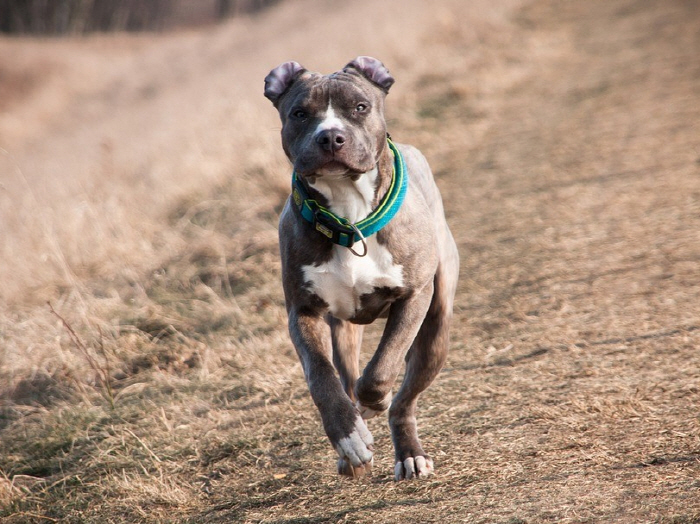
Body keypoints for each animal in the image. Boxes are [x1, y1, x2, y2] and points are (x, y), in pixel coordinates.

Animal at [264, 56, 460, 478]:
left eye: (360, 107)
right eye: (299, 113)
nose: (330, 137)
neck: (349, 213)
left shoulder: (414, 297)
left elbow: (383, 367)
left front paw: (374, 402)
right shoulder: (302, 312)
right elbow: (321, 377)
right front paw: (348, 437)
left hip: (436, 330)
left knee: (404, 399)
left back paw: (408, 452)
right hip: (344, 329)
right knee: (347, 373)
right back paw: (352, 446)